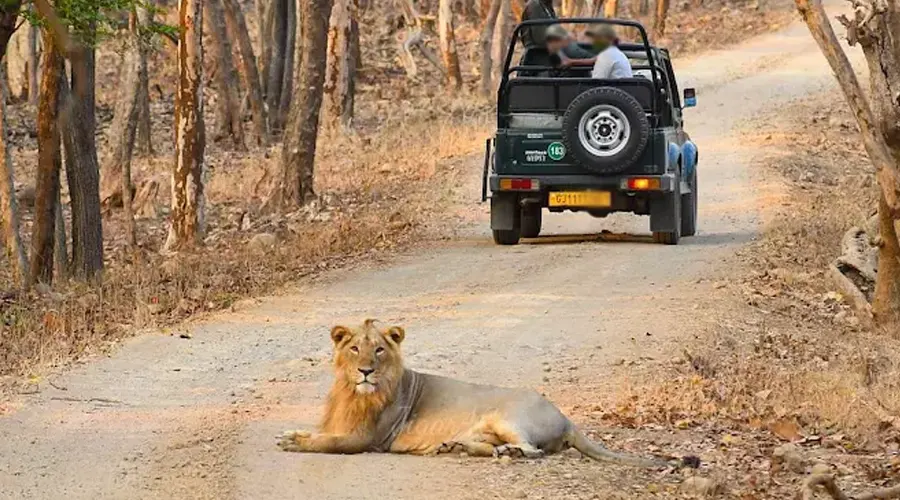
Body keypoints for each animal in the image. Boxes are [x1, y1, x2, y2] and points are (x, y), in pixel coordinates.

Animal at [278, 318, 680, 466]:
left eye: (378, 350)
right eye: (354, 349)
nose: (365, 371)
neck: (354, 392)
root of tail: (567, 419)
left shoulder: (367, 438)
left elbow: (327, 443)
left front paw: (294, 442)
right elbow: (320, 433)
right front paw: (291, 432)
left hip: (507, 417)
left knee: (532, 451)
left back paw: (506, 452)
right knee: (487, 446)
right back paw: (455, 447)